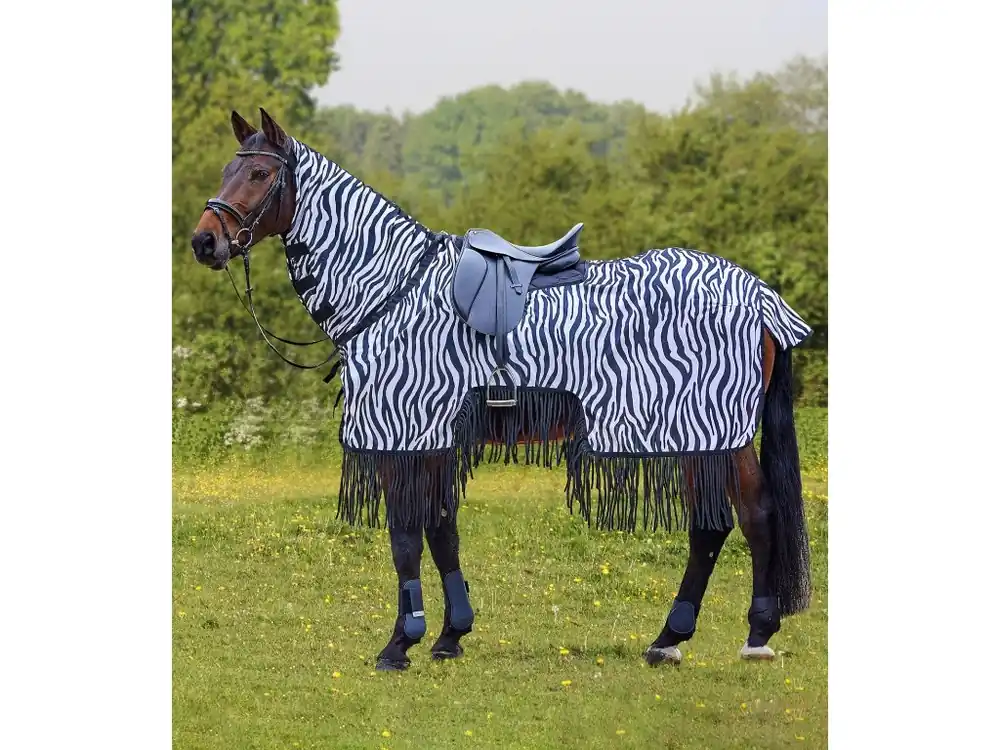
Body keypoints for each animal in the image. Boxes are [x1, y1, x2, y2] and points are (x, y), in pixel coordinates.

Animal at [192, 108, 813, 670]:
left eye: (258, 174)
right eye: (226, 169)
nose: (204, 242)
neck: (391, 290)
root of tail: (760, 295)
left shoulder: (405, 432)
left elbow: (405, 536)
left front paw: (400, 645)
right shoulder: (432, 436)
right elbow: (441, 530)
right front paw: (450, 635)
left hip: (716, 432)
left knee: (753, 516)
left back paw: (754, 635)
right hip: (695, 436)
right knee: (714, 526)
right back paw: (669, 641)